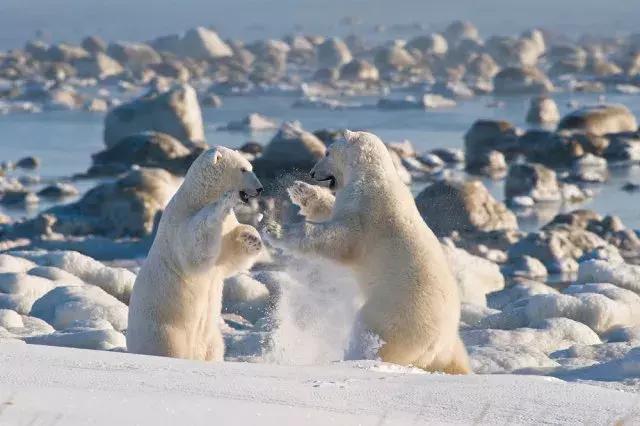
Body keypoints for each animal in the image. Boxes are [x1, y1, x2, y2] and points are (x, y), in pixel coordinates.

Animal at [127, 146, 262, 360]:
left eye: (250, 167)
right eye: (243, 169)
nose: (259, 188)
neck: (196, 198)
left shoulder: (225, 233)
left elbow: (228, 260)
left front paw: (252, 237)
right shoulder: (178, 224)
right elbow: (195, 249)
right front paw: (223, 202)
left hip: (211, 337)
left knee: (215, 347)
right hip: (164, 331)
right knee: (169, 348)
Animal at [284, 130, 470, 372]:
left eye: (327, 152)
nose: (312, 173)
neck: (373, 174)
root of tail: (439, 345)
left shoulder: (367, 209)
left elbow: (341, 238)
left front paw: (279, 230)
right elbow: (332, 210)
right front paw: (302, 191)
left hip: (395, 315)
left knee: (371, 332)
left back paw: (355, 357)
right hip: (447, 343)